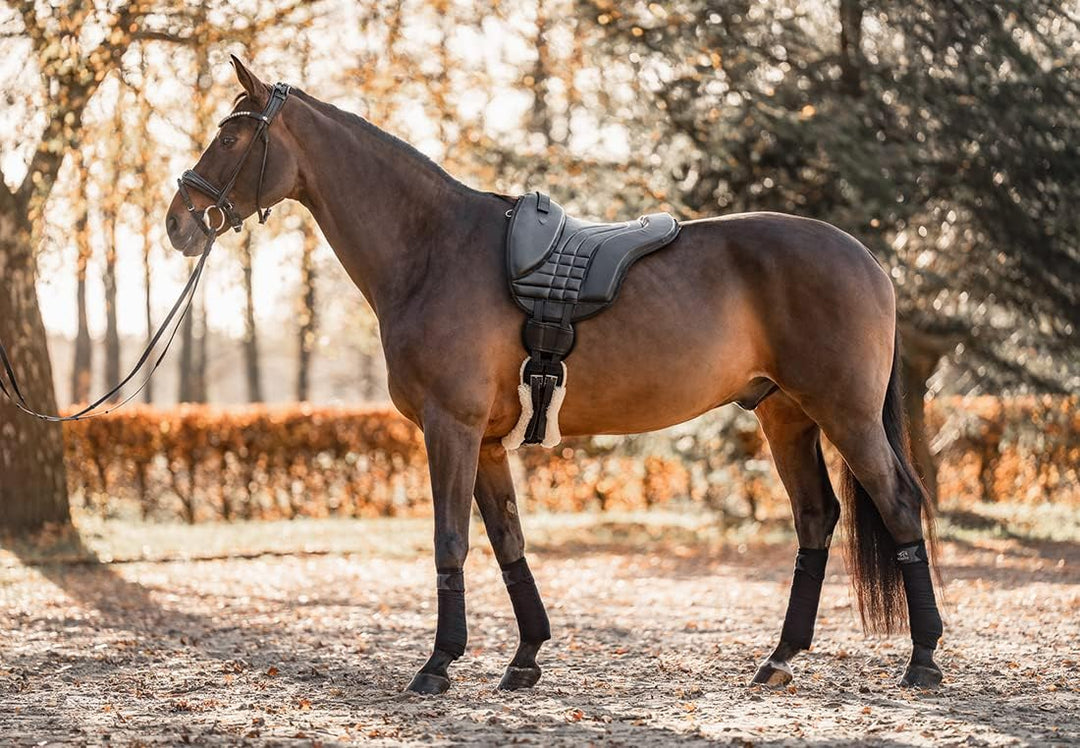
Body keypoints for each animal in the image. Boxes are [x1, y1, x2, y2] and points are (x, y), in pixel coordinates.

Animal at [165, 57, 944, 695]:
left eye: (231, 136)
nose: (180, 223)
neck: (433, 248)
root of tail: (868, 259)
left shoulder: (450, 429)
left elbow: (451, 542)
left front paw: (438, 664)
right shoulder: (484, 442)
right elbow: (508, 542)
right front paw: (525, 658)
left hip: (845, 414)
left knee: (901, 505)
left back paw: (923, 660)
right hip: (787, 416)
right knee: (815, 518)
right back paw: (780, 659)